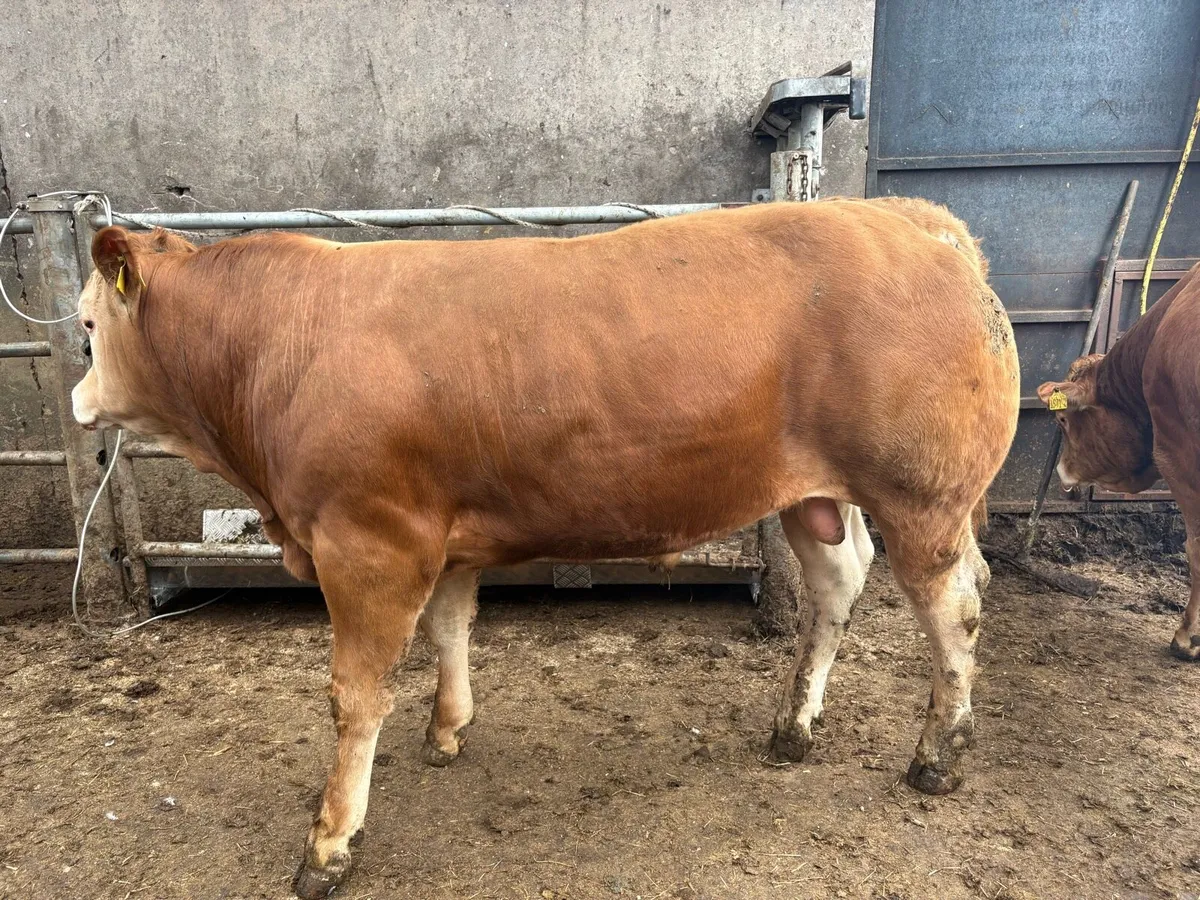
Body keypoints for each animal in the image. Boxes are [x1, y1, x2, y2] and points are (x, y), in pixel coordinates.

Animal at [71, 198, 1019, 898]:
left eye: (84, 325)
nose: (77, 399)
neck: (277, 344)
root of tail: (908, 217)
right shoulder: (440, 538)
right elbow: (451, 629)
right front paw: (447, 729)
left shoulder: (367, 543)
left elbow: (354, 697)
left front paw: (329, 842)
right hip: (818, 498)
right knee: (837, 585)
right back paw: (794, 727)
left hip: (925, 498)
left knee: (957, 610)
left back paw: (938, 756)